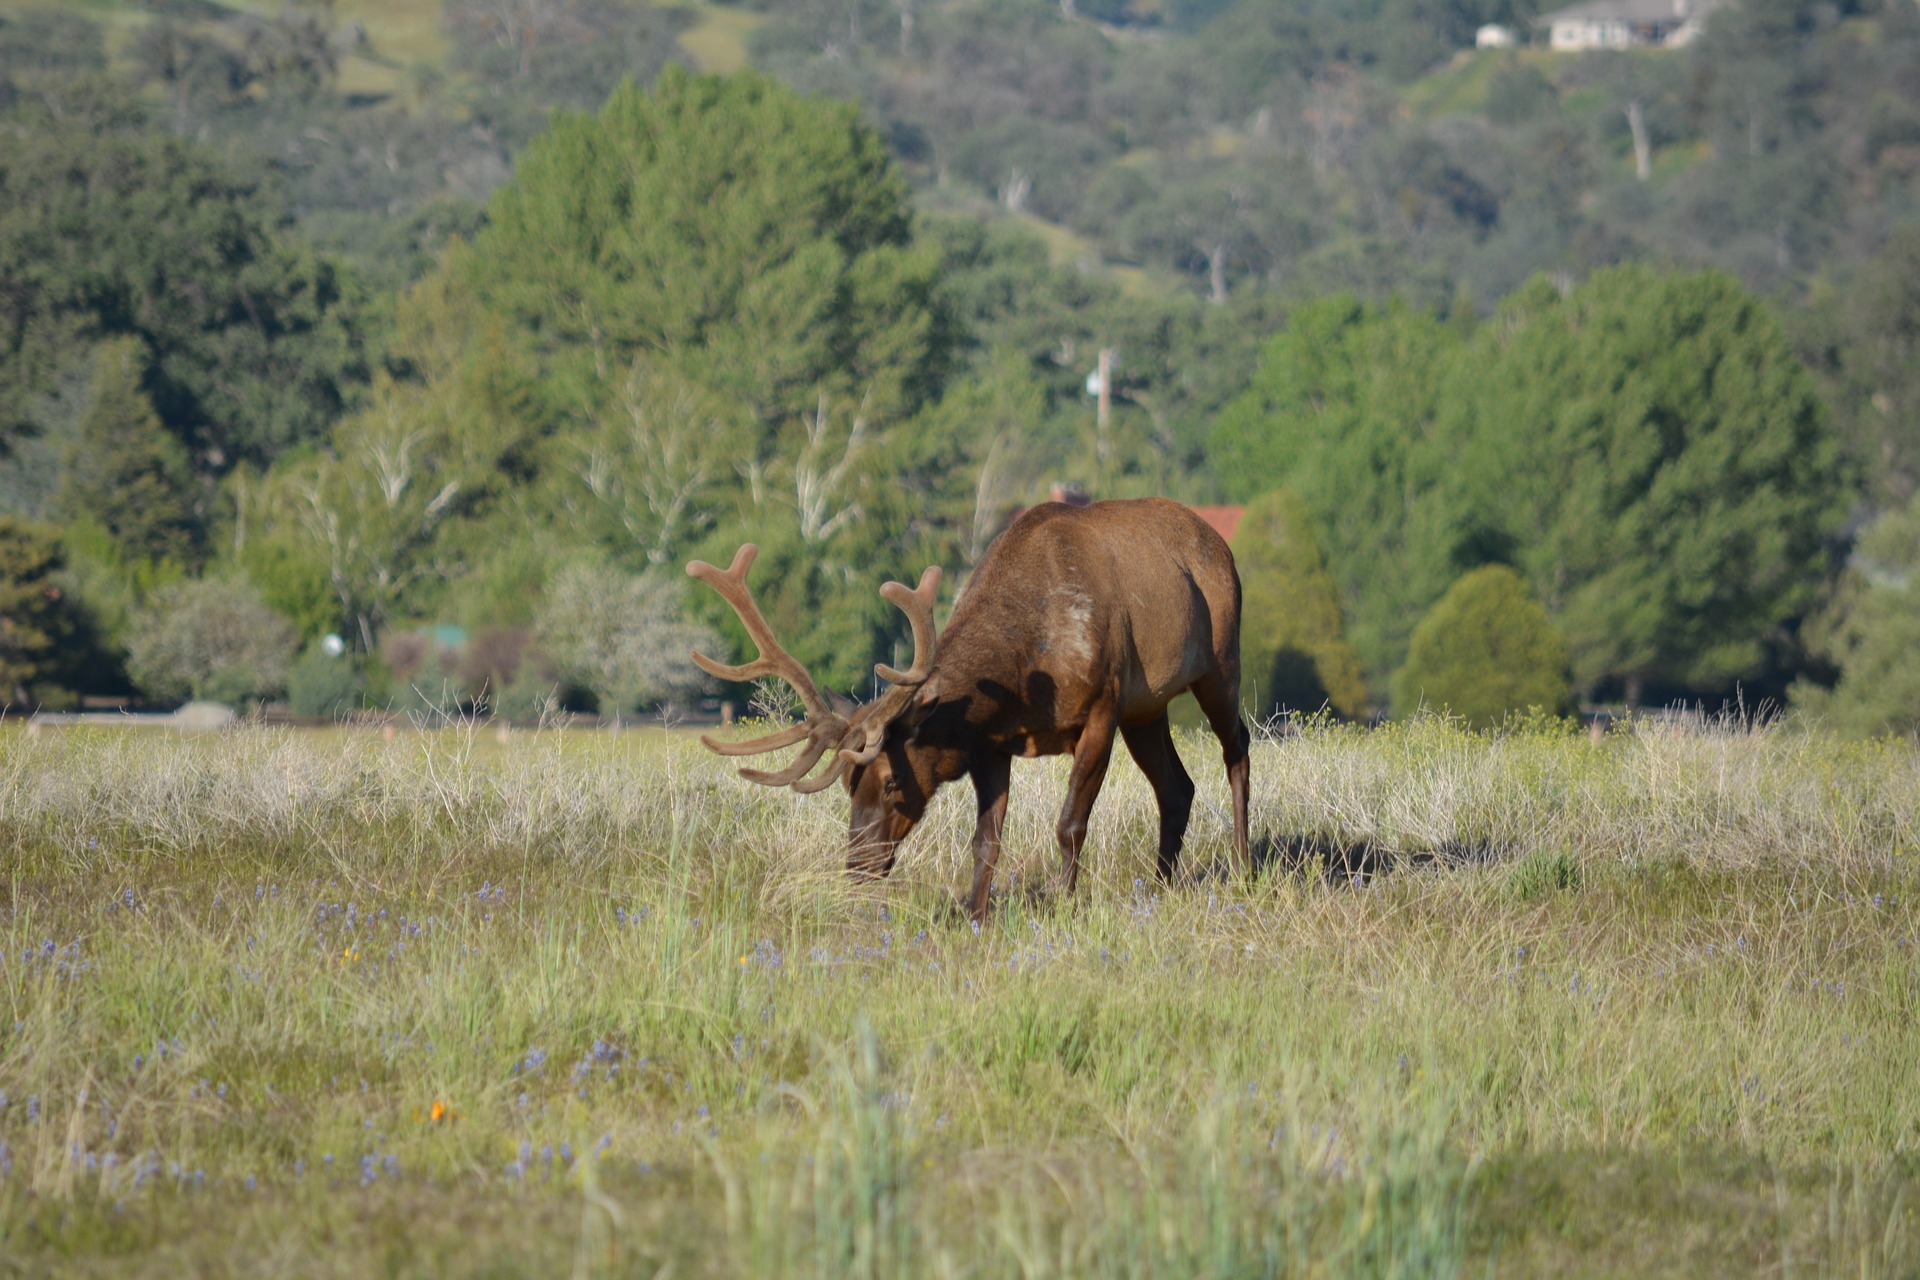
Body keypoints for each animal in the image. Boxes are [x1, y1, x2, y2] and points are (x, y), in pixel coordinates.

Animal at [686, 497, 1251, 922]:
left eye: (892, 780)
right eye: (848, 783)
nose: (858, 866)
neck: (1027, 675)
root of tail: (1222, 545)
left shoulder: (1102, 711)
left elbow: (1069, 825)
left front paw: (1065, 906)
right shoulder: (992, 745)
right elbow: (985, 840)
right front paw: (975, 917)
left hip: (1218, 663)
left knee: (1237, 747)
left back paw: (1243, 868)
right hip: (1146, 709)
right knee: (1177, 788)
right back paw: (1159, 886)